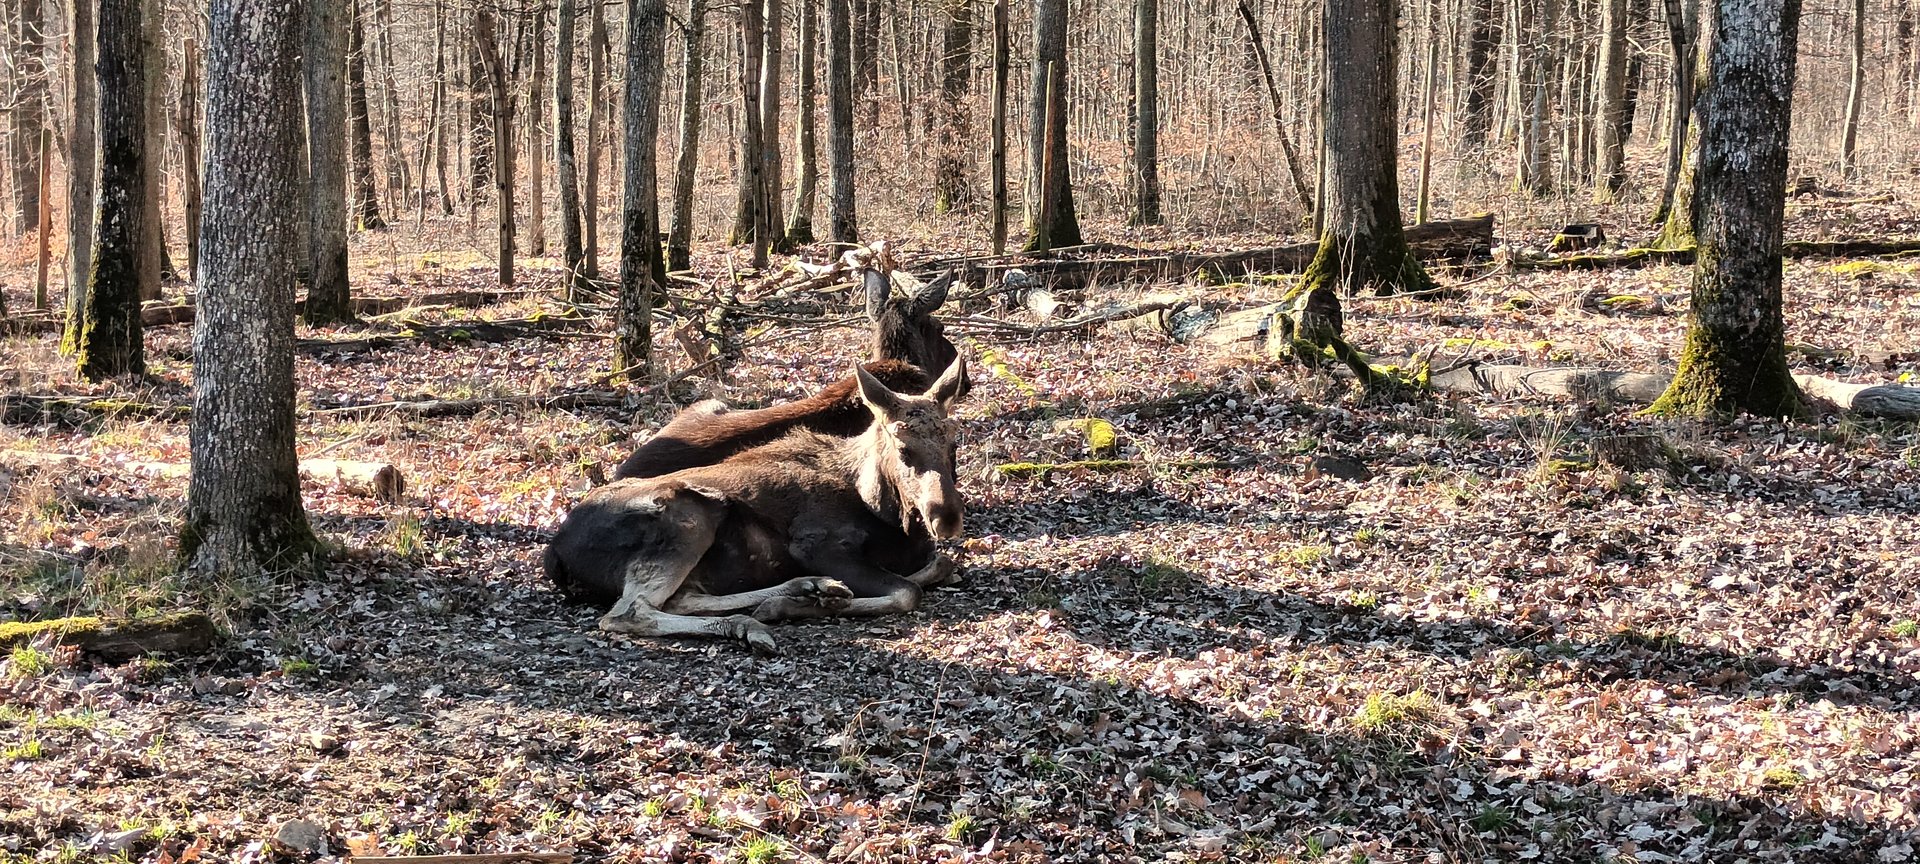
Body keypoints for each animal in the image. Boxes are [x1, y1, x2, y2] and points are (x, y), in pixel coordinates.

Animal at [545, 358, 968, 655]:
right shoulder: (817, 543)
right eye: (904, 448)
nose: (945, 517)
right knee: (628, 612)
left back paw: (799, 590)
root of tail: (555, 552)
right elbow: (906, 591)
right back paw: (763, 615)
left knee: (681, 599)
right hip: (689, 514)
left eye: (953, 443)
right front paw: (801, 606)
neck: (885, 511)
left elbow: (939, 565)